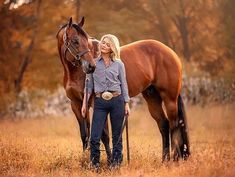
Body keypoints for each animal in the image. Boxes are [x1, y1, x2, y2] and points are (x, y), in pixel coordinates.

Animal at [56, 17, 189, 162]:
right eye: (75, 41)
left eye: (86, 40)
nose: (91, 66)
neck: (75, 72)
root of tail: (171, 53)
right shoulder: (77, 104)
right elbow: (85, 135)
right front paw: (86, 159)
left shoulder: (96, 103)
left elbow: (104, 135)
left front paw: (109, 161)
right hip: (153, 98)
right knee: (164, 125)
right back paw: (164, 160)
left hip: (169, 98)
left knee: (174, 125)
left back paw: (174, 160)